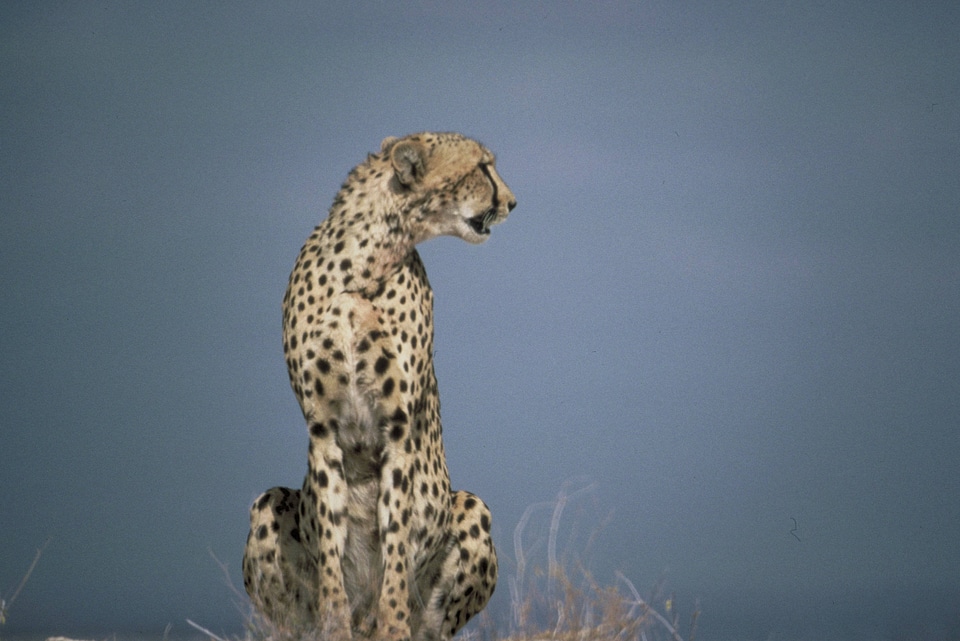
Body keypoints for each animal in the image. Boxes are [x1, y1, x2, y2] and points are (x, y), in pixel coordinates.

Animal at [248, 131, 516, 640]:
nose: (513, 201)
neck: (366, 263)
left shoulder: (398, 429)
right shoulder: (323, 430)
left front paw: (391, 626)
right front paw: (335, 625)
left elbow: (395, 542)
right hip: (266, 506)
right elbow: (331, 542)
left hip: (470, 510)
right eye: (482, 167)